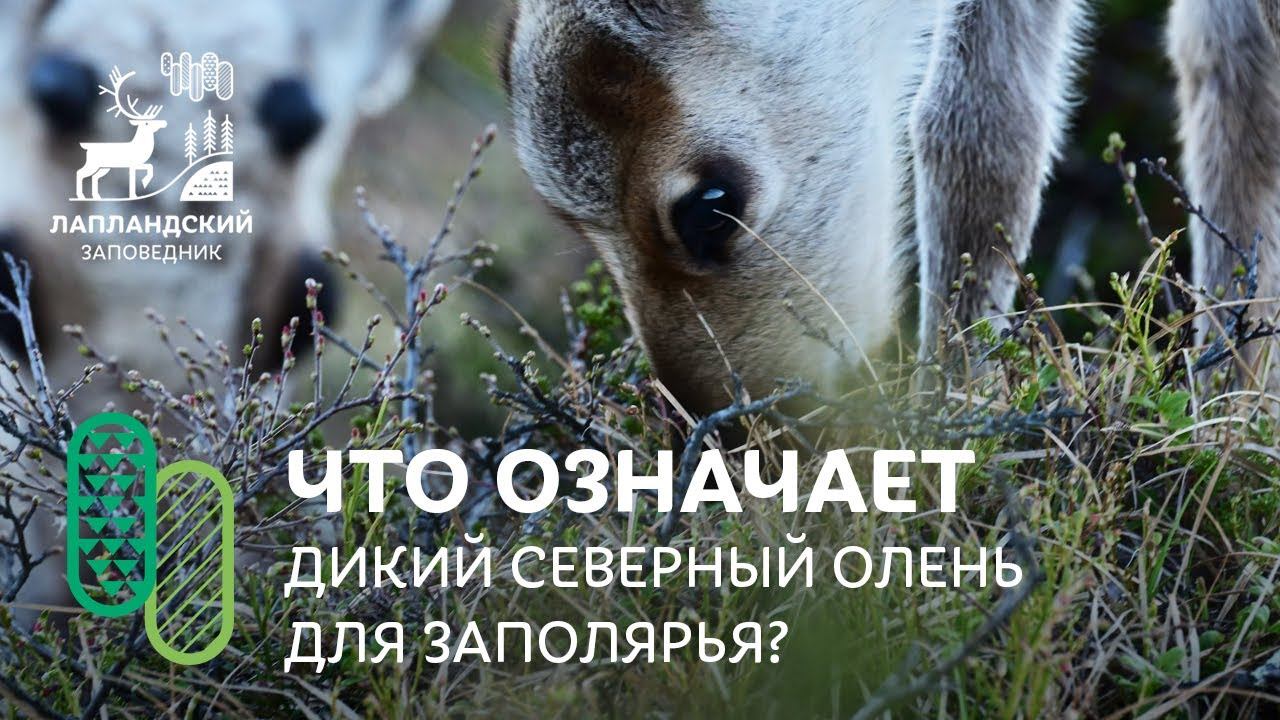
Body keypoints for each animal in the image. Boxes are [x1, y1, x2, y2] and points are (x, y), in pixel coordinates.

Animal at [74, 67, 166, 200]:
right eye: (146, 123)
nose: (164, 123)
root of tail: (87, 146)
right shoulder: (132, 165)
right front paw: (141, 186)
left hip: (104, 167)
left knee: (95, 177)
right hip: (94, 163)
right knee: (81, 173)